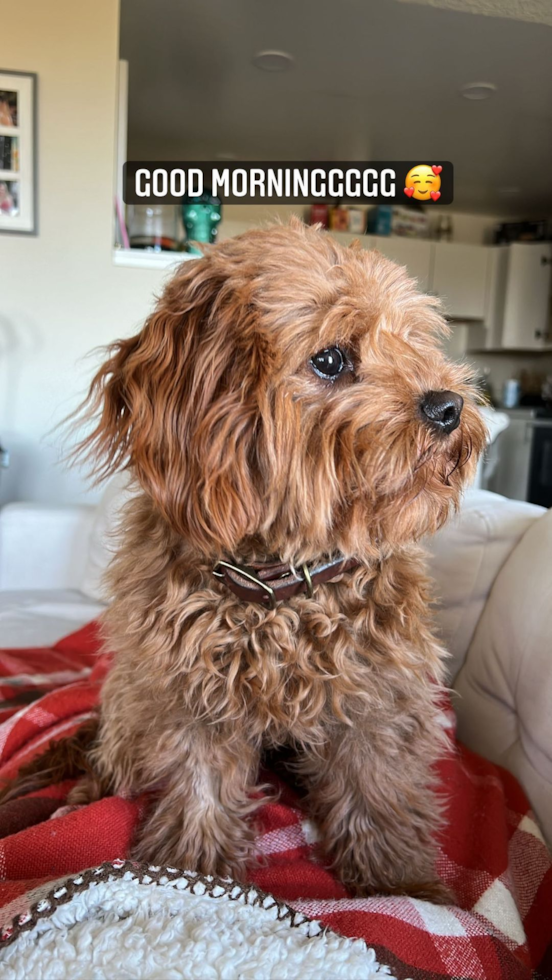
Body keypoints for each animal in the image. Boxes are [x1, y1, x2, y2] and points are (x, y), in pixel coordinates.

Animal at [7, 222, 488, 904]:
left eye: (414, 339)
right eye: (330, 359)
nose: (449, 407)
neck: (283, 582)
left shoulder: (377, 698)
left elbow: (379, 795)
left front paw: (405, 888)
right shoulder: (190, 696)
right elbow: (199, 789)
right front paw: (189, 873)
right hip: (130, 697)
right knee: (114, 753)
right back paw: (83, 793)